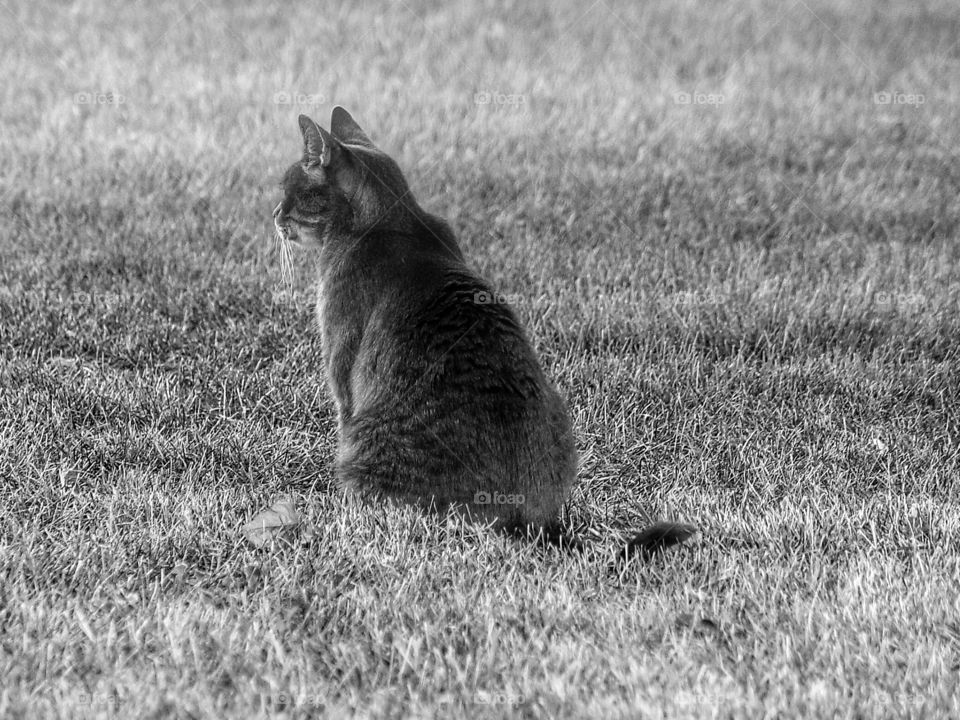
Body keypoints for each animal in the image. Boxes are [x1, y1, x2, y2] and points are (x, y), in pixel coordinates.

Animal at [274, 105, 692, 556]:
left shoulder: (342, 366)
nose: (273, 214)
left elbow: (341, 414)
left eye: (288, 190)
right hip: (560, 411)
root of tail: (532, 520)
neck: (395, 221)